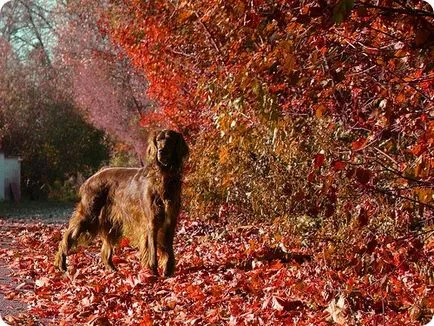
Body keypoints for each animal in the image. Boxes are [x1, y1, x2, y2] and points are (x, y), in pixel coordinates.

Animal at [53, 129, 189, 276]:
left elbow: (168, 249)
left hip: (111, 224)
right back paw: (61, 264)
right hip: (88, 215)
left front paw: (168, 273)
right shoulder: (152, 221)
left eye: (170, 139)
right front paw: (153, 272)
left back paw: (114, 271)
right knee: (67, 238)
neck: (164, 176)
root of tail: (91, 178)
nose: (161, 151)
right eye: (158, 140)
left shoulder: (170, 221)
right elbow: (152, 250)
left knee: (104, 251)